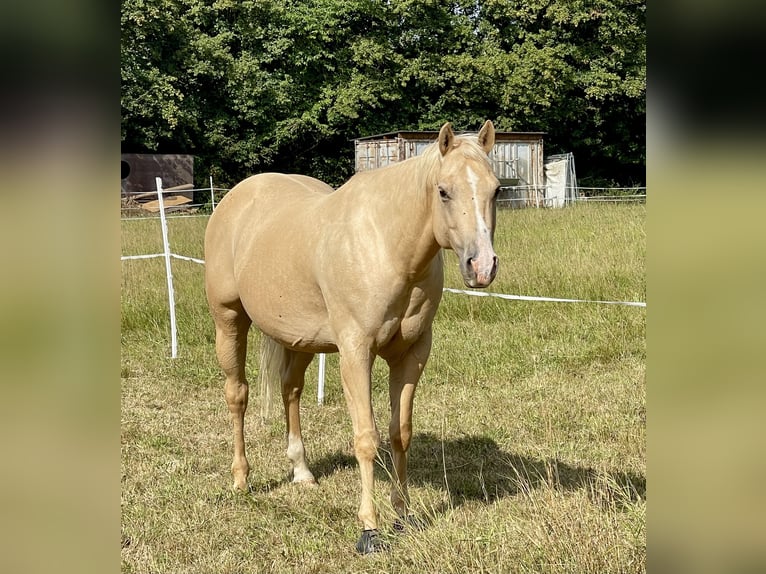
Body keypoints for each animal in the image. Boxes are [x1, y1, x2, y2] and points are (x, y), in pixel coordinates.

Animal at [204, 121, 500, 553]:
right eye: (443, 191)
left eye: (496, 189)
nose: (481, 266)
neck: (386, 246)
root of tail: (235, 198)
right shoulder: (355, 354)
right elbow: (366, 438)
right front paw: (369, 528)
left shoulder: (411, 354)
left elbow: (399, 433)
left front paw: (403, 515)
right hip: (229, 320)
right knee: (237, 395)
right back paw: (242, 479)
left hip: (301, 340)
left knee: (290, 390)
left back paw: (302, 471)